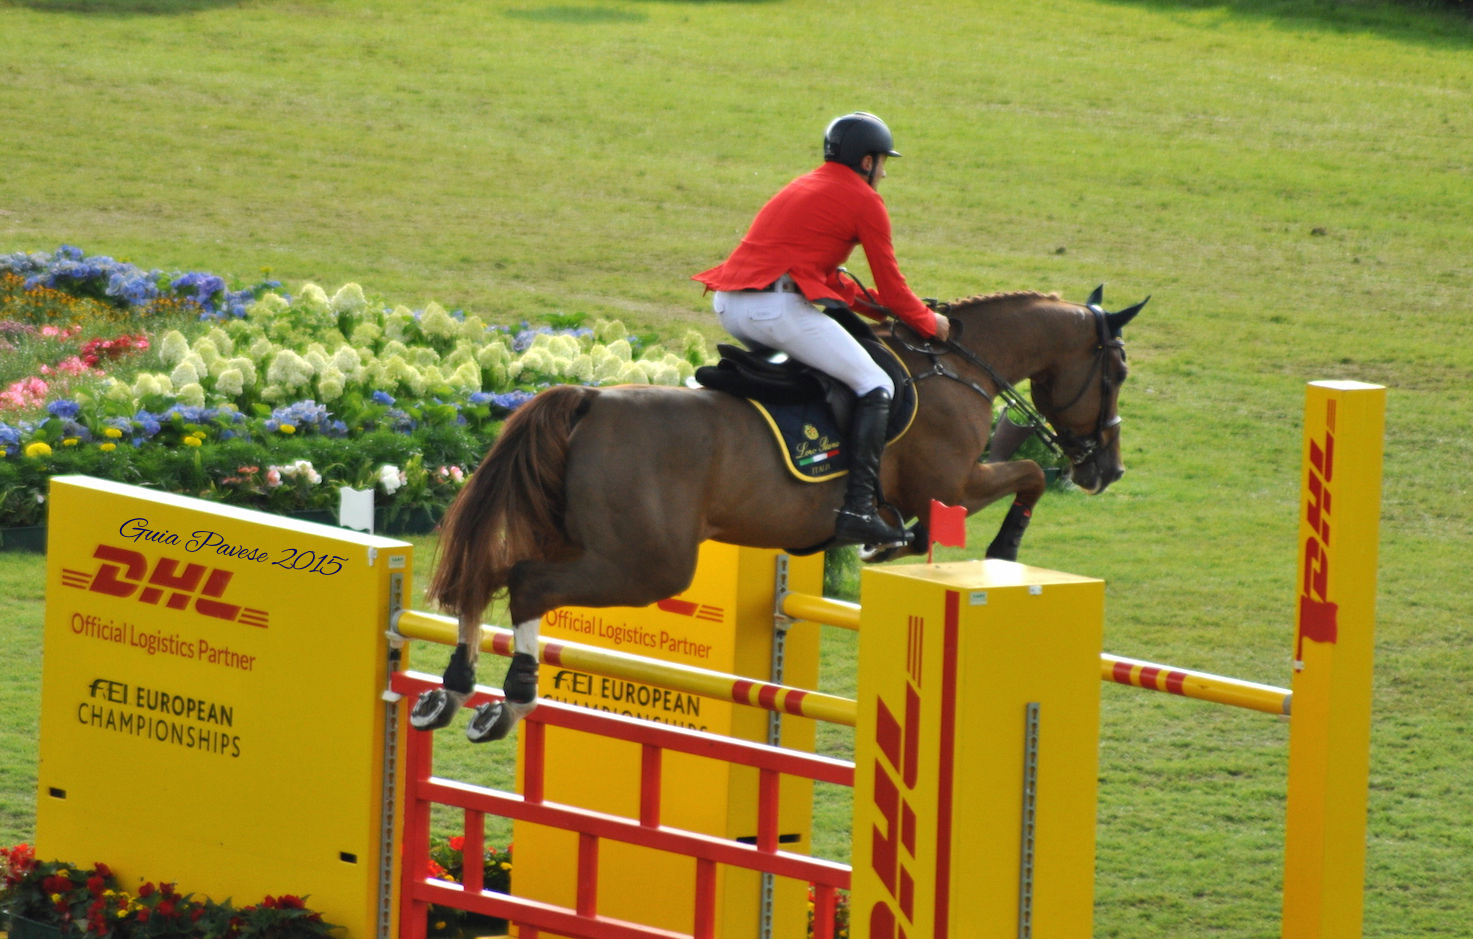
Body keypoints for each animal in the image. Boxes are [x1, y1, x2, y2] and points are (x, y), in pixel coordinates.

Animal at [409, 285, 1143, 739]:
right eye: (1117, 374)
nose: (1106, 469)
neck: (957, 368)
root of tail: (589, 398)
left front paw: (888, 543)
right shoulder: (953, 484)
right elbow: (1027, 477)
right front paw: (1002, 551)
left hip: (584, 540)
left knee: (486, 576)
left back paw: (453, 691)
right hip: (646, 564)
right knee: (526, 583)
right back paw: (510, 699)